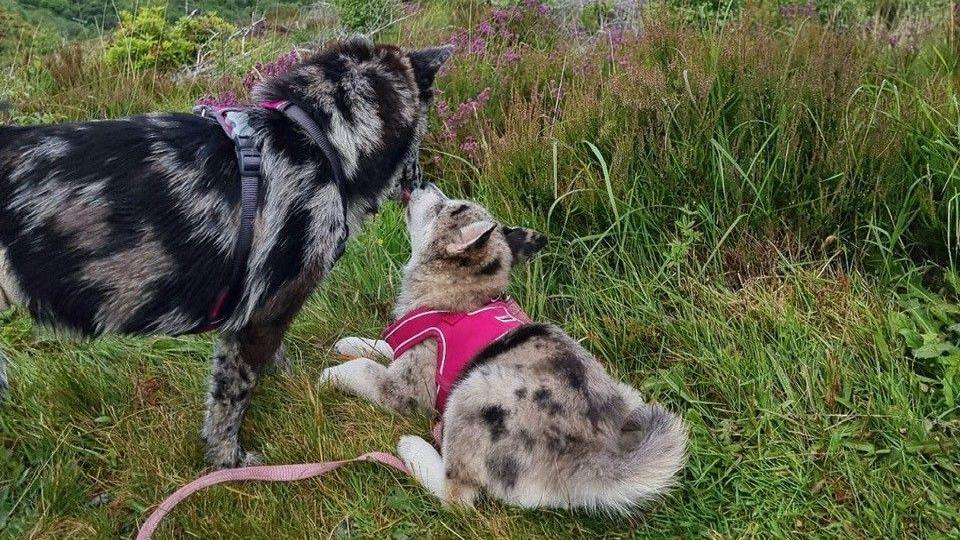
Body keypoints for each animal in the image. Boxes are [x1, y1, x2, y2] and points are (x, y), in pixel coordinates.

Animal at [0, 38, 454, 468]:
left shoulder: (256, 314)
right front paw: (226, 460)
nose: (421, 184)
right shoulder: (264, 313)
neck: (320, 140)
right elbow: (231, 398)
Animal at [324, 184, 688, 512]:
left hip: (472, 393)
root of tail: (592, 458)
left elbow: (366, 369)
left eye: (446, 208)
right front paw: (351, 343)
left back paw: (413, 449)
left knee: (458, 497)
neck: (460, 295)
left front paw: (331, 374)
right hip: (628, 396)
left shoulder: (404, 389)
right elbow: (386, 347)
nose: (419, 182)